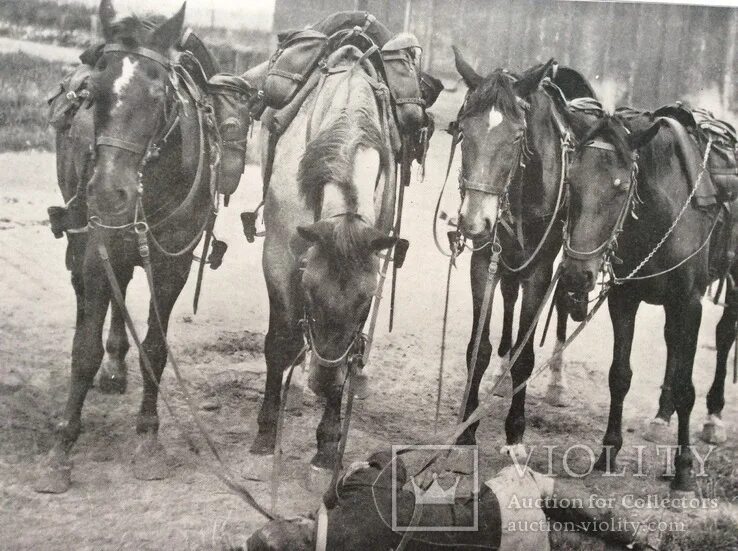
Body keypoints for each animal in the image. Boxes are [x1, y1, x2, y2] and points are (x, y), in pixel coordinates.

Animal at [37, 0, 220, 492]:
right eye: (93, 92)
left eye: (158, 96)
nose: (108, 191)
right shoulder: (97, 250)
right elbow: (83, 351)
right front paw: (62, 447)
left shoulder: (172, 265)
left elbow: (155, 349)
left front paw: (148, 438)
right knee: (89, 293)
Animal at [249, 44, 396, 478]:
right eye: (311, 291)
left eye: (365, 302)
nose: (324, 382)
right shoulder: (279, 256)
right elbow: (279, 342)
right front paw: (267, 431)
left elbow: (351, 353)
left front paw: (328, 445)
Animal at [448, 50, 592, 458]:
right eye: (463, 130)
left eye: (516, 137)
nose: (473, 221)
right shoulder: (483, 262)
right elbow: (478, 347)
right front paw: (467, 425)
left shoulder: (539, 270)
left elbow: (525, 359)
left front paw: (515, 433)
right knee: (509, 298)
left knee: (560, 308)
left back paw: (556, 382)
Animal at [556, 112, 712, 492]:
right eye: (572, 182)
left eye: (621, 187)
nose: (576, 275)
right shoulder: (624, 298)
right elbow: (619, 374)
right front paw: (608, 451)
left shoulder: (690, 303)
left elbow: (687, 388)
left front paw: (684, 469)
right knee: (672, 342)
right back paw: (661, 415)